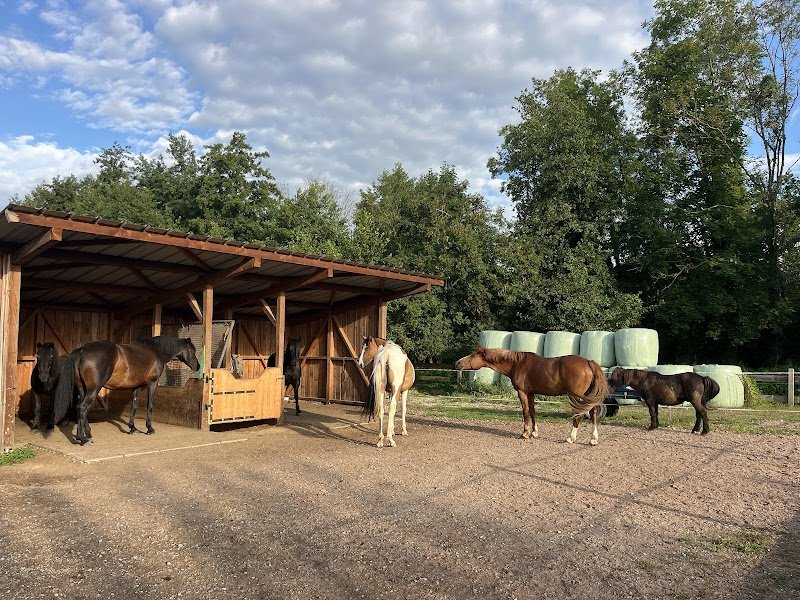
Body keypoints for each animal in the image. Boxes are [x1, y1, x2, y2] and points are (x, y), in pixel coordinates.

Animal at [53, 336, 200, 445]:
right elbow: (150, 405)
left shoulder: (137, 387)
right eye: (192, 350)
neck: (155, 351)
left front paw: (132, 428)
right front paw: (149, 428)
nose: (197, 366)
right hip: (94, 389)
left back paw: (87, 434)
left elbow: (134, 406)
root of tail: (82, 350)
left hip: (83, 389)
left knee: (80, 408)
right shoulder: (152, 383)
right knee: (83, 408)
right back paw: (83, 439)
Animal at [455, 346, 609, 445]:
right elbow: (533, 412)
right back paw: (593, 440)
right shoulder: (531, 394)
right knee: (593, 413)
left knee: (578, 415)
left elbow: (525, 412)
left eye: (473, 355)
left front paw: (525, 433)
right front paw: (534, 433)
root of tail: (588, 362)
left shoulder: (522, 393)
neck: (517, 364)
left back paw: (570, 438)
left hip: (576, 397)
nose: (457, 363)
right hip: (587, 397)